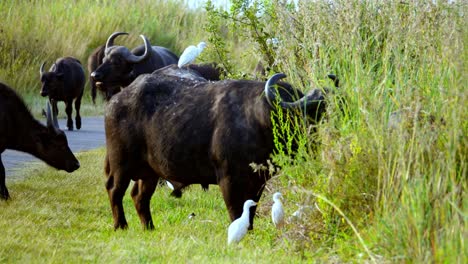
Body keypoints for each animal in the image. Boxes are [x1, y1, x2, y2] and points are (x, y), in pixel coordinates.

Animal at [103, 65, 330, 230]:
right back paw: (120, 225)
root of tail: (116, 100)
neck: (257, 120)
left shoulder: (258, 181)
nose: (314, 141)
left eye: (321, 114)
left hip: (150, 172)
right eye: (302, 114)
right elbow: (236, 211)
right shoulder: (228, 179)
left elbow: (250, 209)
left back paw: (149, 227)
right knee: (114, 189)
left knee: (139, 196)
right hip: (120, 164)